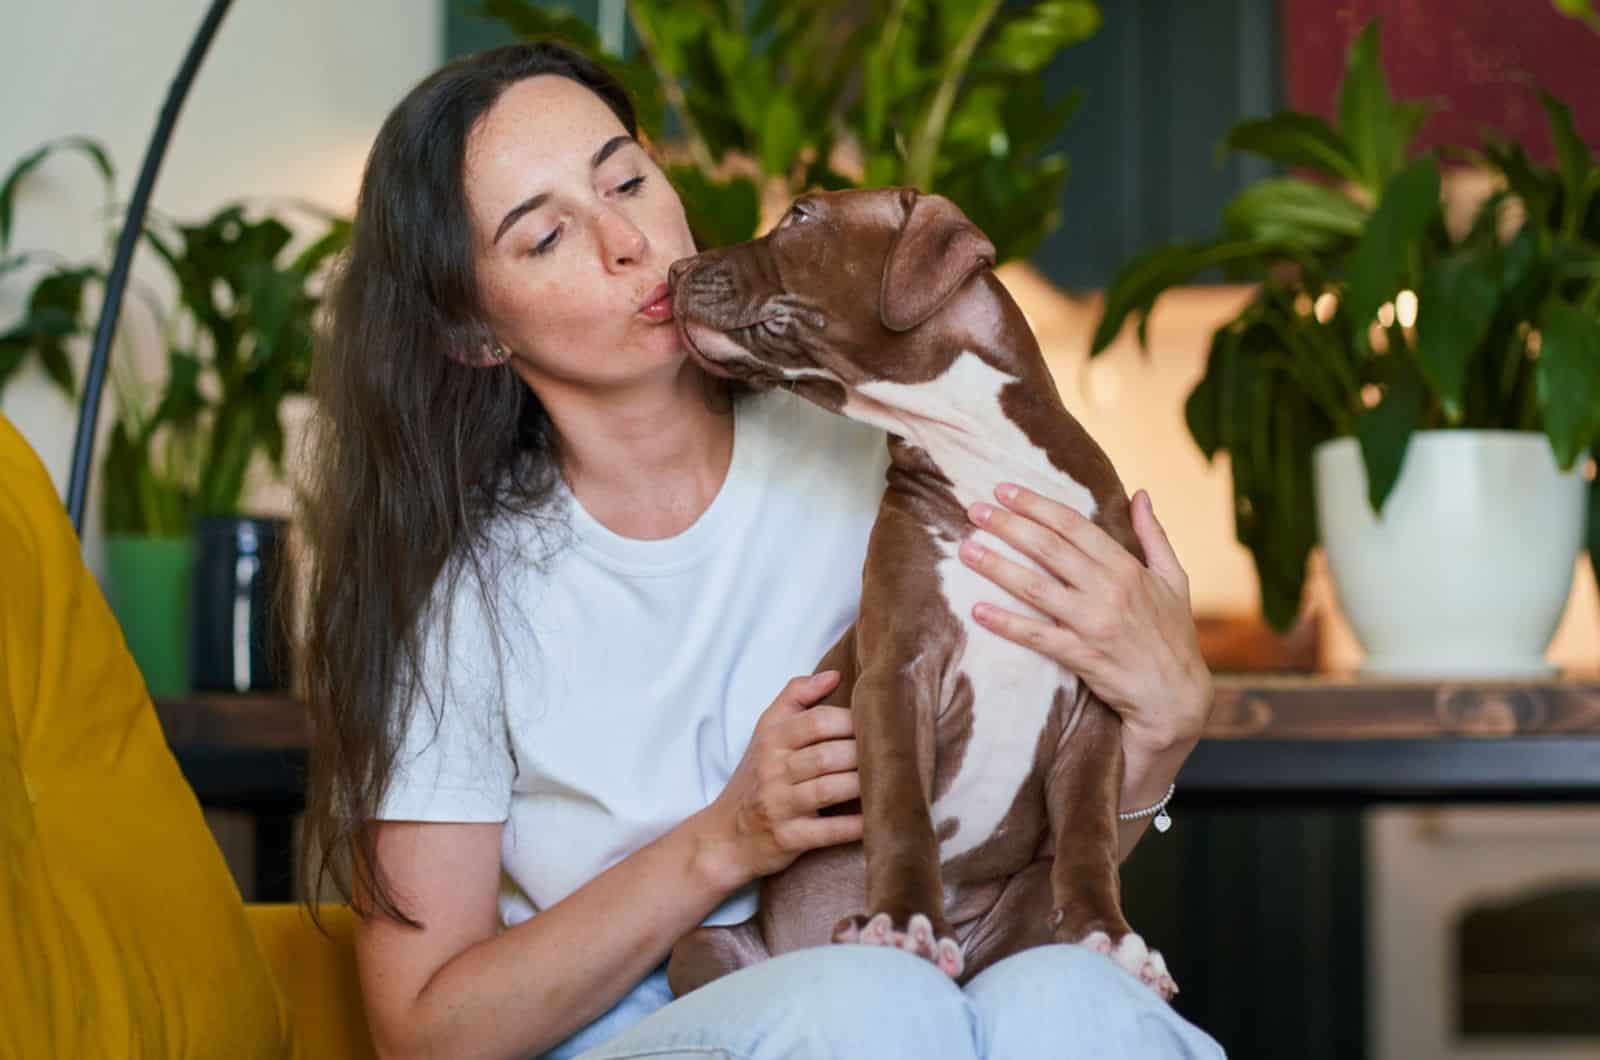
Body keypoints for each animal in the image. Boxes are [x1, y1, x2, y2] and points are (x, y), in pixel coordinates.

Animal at [662, 188, 1177, 1005]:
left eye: (801, 215)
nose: (674, 270)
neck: (982, 453)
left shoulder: (1097, 701)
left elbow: (1090, 832)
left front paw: (1112, 937)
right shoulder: (896, 673)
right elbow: (902, 807)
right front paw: (903, 919)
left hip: (1022, 898)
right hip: (702, 945)